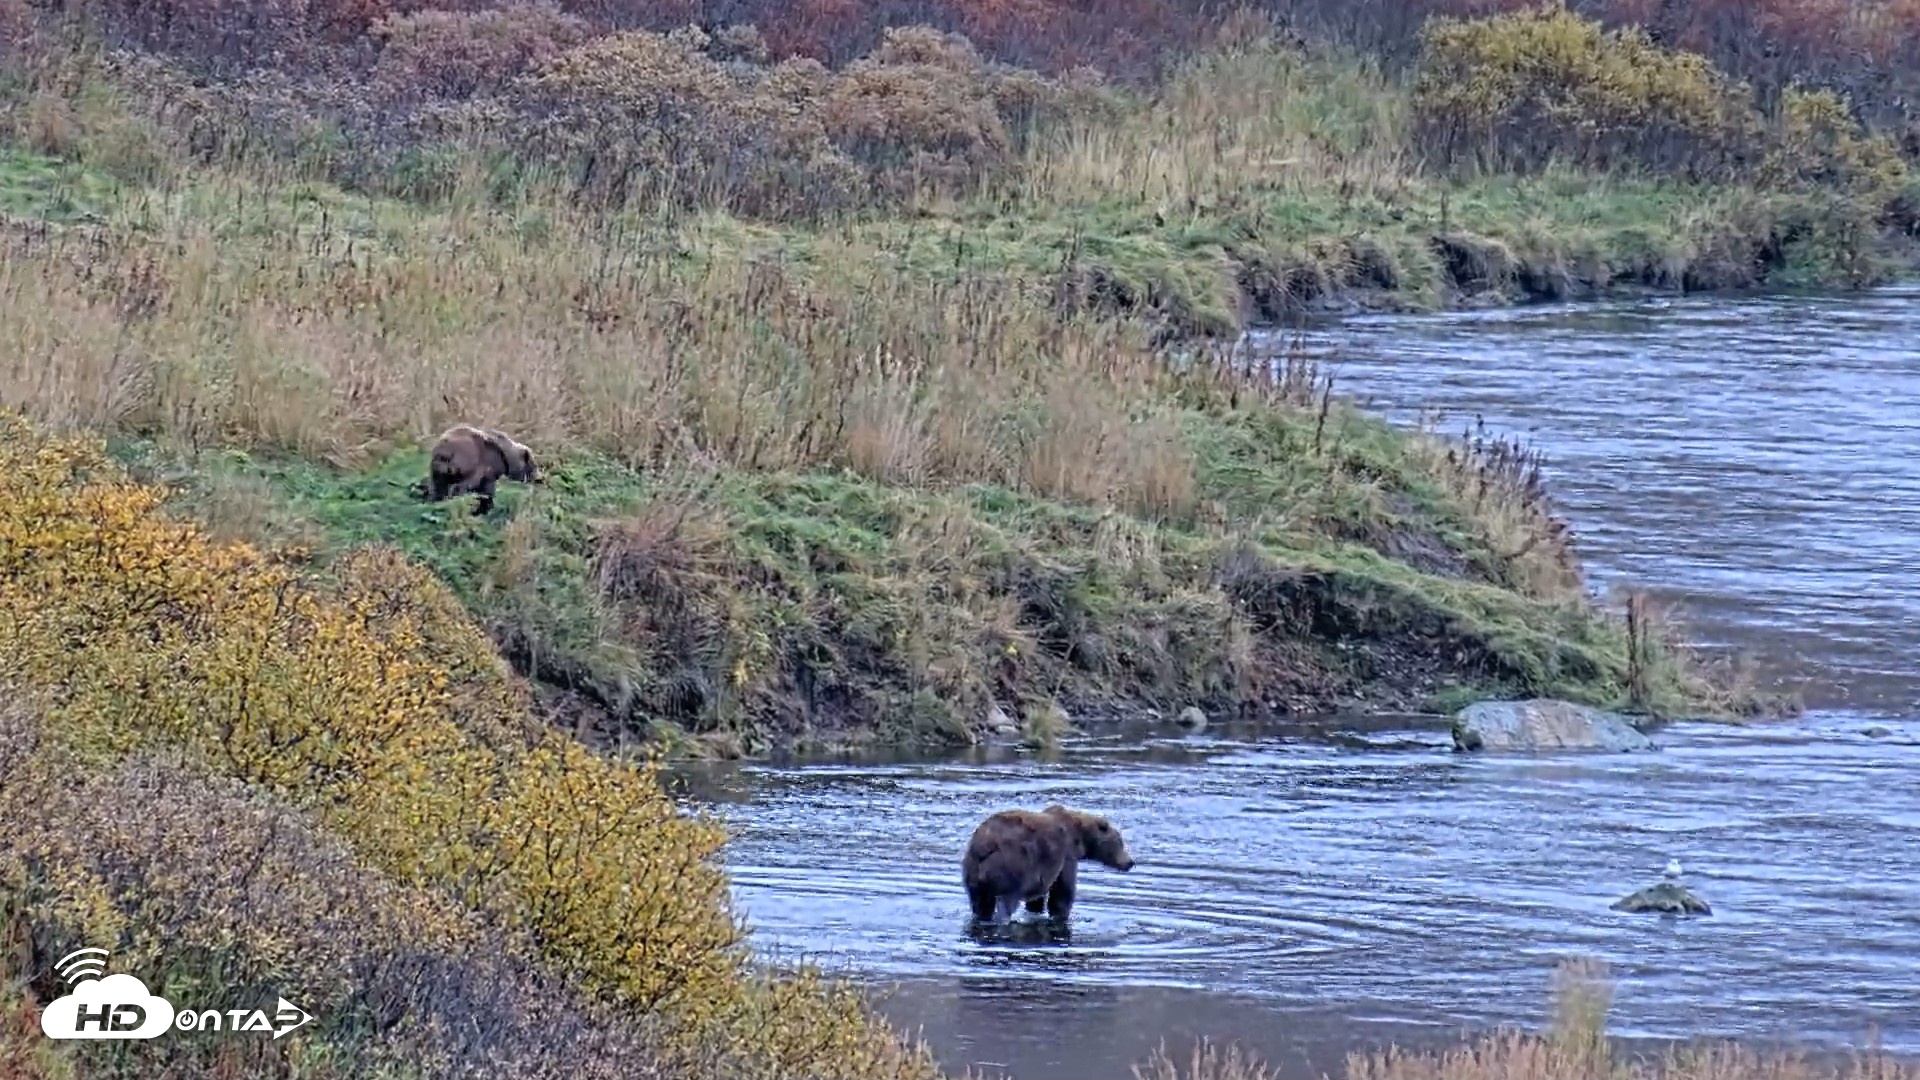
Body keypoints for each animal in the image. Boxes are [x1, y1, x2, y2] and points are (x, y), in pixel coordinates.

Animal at [960, 803, 1135, 924]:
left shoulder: (1041, 870)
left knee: (980, 903)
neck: (1080, 837)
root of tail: (985, 845)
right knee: (1006, 901)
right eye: (1120, 842)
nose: (1130, 862)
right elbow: (1063, 892)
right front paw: (1061, 915)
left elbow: (1037, 898)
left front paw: (1035, 910)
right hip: (1012, 865)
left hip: (972, 871)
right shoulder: (1066, 855)